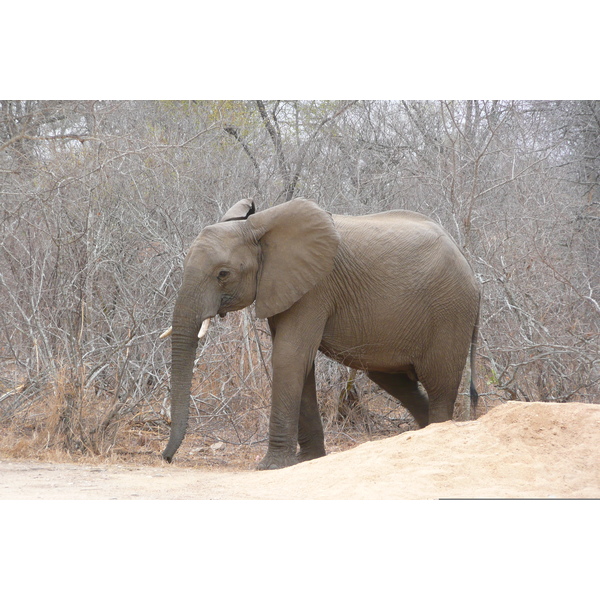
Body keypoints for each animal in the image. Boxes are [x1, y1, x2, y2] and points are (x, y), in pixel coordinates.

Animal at [162, 199, 480, 472]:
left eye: (223, 274)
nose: (166, 458)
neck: (257, 227)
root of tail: (472, 271)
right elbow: (300, 363)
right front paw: (308, 460)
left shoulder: (315, 288)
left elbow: (289, 357)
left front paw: (271, 466)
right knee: (393, 380)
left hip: (450, 312)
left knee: (440, 385)